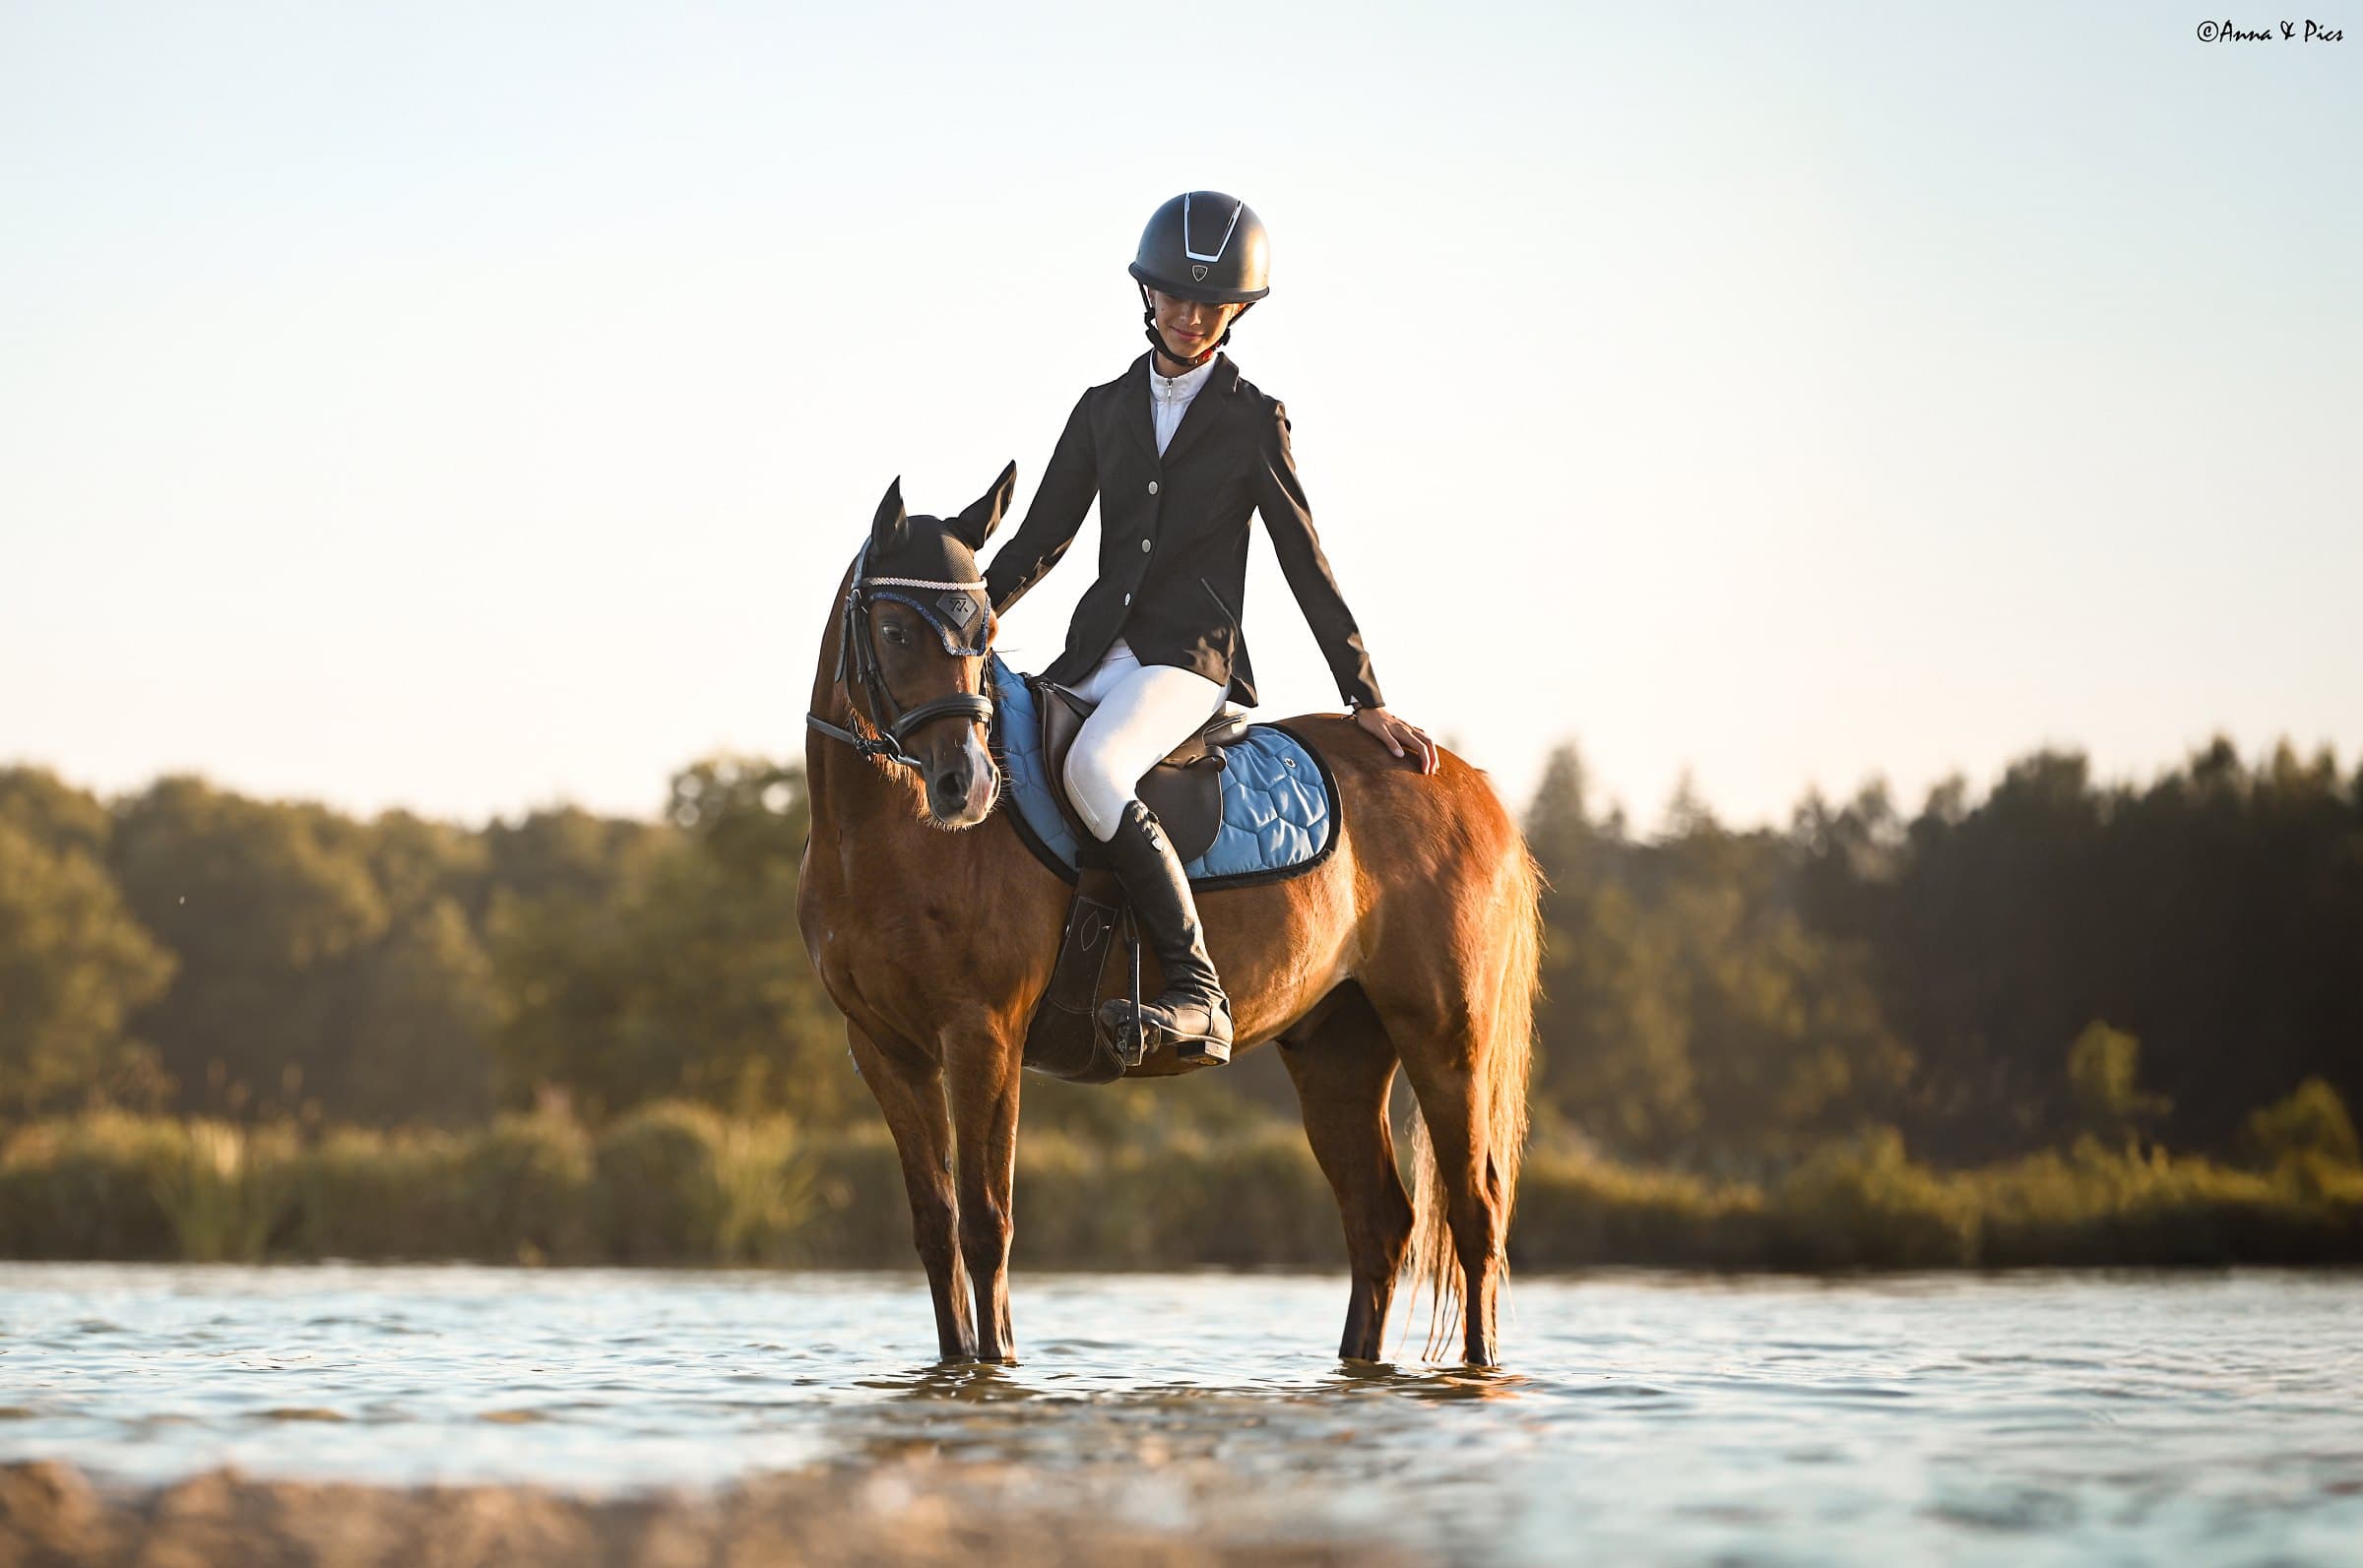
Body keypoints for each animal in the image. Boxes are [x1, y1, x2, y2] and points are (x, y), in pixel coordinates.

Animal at [797, 466, 1542, 1366]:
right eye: (897, 628)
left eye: (987, 632)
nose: (966, 785)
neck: (878, 834)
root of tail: (1469, 782)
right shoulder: (886, 1050)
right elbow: (937, 1229)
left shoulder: (983, 1036)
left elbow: (986, 1226)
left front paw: (1000, 1364)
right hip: (1338, 1049)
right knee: (1380, 1222)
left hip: (1446, 1036)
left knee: (1475, 1213)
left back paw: (1480, 1369)